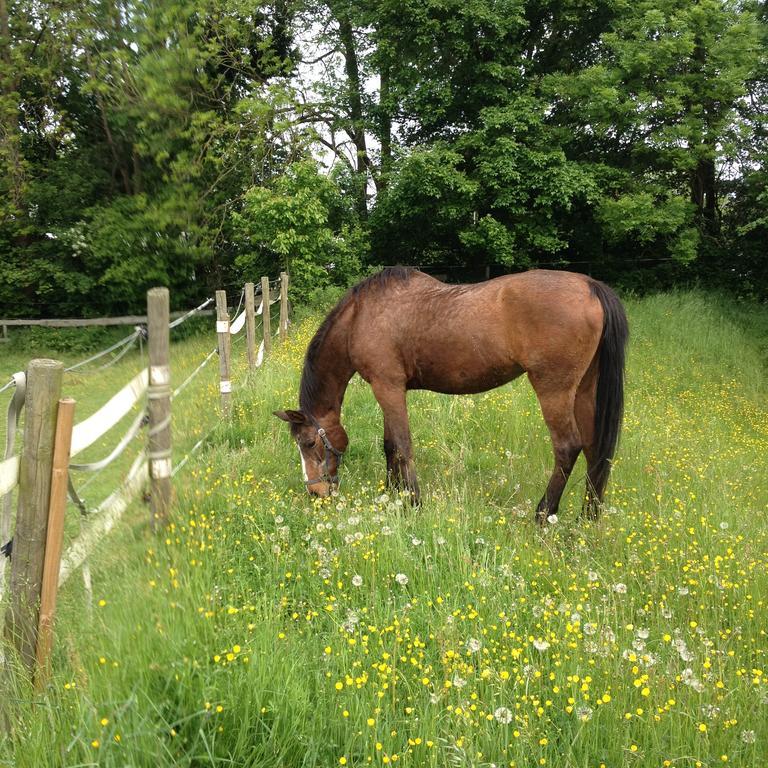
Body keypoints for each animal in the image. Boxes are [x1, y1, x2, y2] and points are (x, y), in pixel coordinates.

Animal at [272, 266, 628, 520]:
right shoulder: (388, 389)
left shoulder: (387, 387)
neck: (360, 316)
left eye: (308, 443)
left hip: (553, 390)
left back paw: (543, 515)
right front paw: (393, 495)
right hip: (585, 389)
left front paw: (413, 502)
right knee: (596, 449)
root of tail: (590, 286)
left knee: (568, 447)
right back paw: (587, 517)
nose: (315, 493)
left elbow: (402, 446)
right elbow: (390, 446)